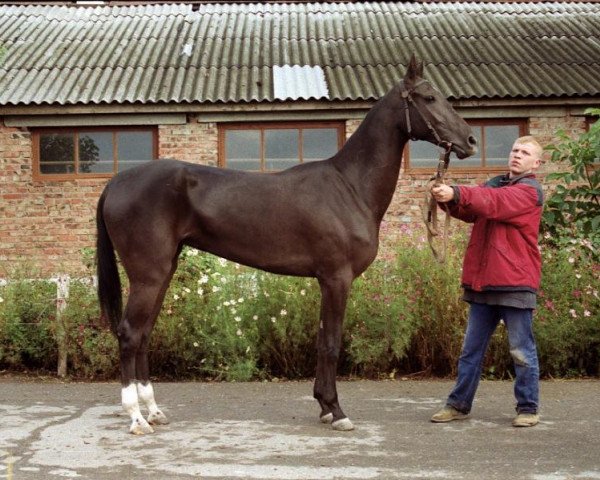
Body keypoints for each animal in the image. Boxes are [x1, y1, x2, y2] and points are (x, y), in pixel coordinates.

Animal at [96, 57, 476, 436]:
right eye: (429, 97)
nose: (470, 141)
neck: (350, 187)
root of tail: (116, 182)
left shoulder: (327, 281)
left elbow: (322, 341)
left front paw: (324, 406)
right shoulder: (337, 278)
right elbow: (331, 344)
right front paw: (337, 412)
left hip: (163, 273)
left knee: (144, 335)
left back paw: (154, 411)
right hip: (149, 276)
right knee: (129, 334)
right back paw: (136, 418)